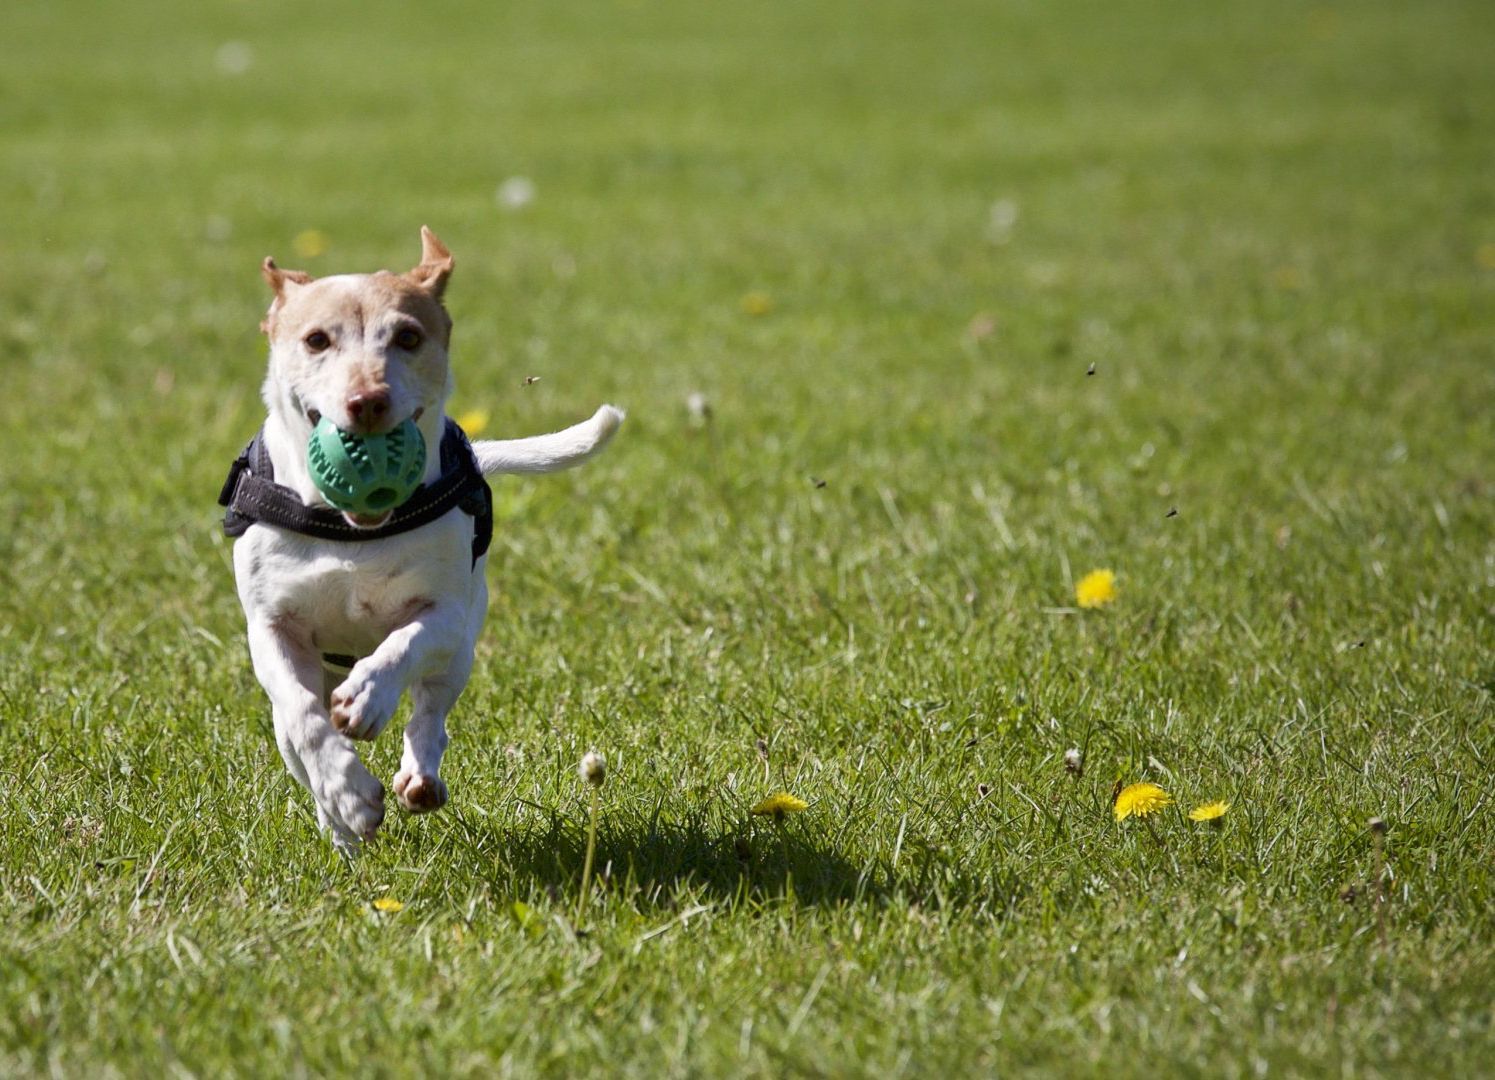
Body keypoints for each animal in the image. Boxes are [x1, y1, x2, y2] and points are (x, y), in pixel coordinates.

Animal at [218, 227, 621, 849]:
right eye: (316, 340)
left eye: (408, 336)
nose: (367, 401)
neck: (351, 531)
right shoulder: (271, 628)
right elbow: (306, 719)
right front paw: (349, 794)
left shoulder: (447, 614)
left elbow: (403, 646)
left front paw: (368, 696)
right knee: (298, 740)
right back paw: (340, 829)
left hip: (461, 652)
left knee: (431, 709)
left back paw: (418, 775)